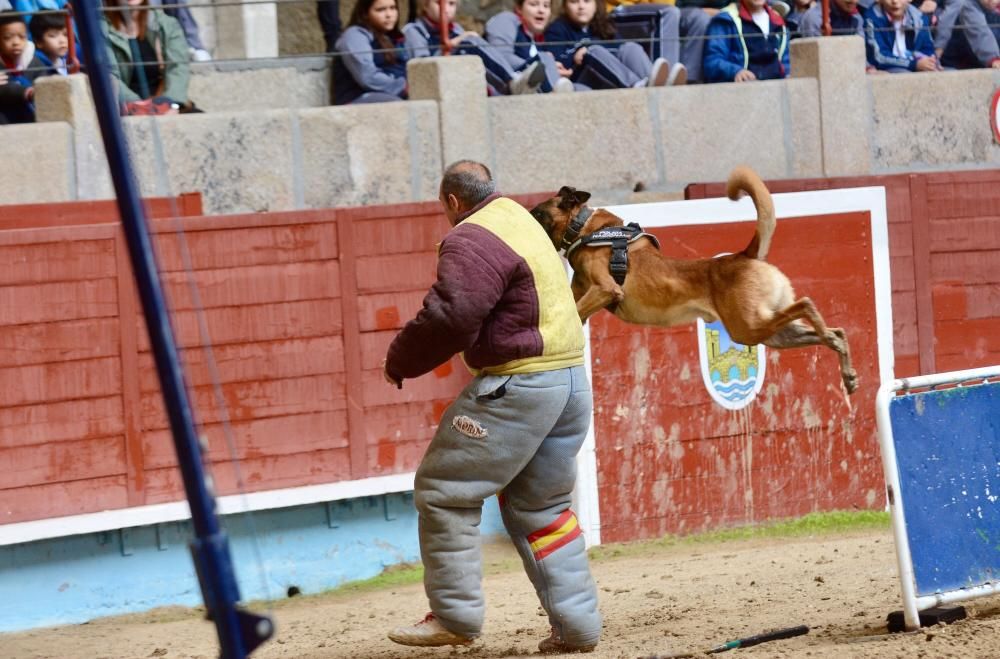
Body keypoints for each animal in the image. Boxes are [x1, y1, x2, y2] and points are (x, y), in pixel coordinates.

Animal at [532, 168, 860, 394]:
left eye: (535, 213)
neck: (583, 227)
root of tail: (744, 255)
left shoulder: (605, 289)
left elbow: (578, 311)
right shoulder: (582, 293)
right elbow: (573, 313)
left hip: (750, 326)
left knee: (807, 304)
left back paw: (830, 340)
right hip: (772, 333)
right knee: (836, 330)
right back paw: (845, 366)